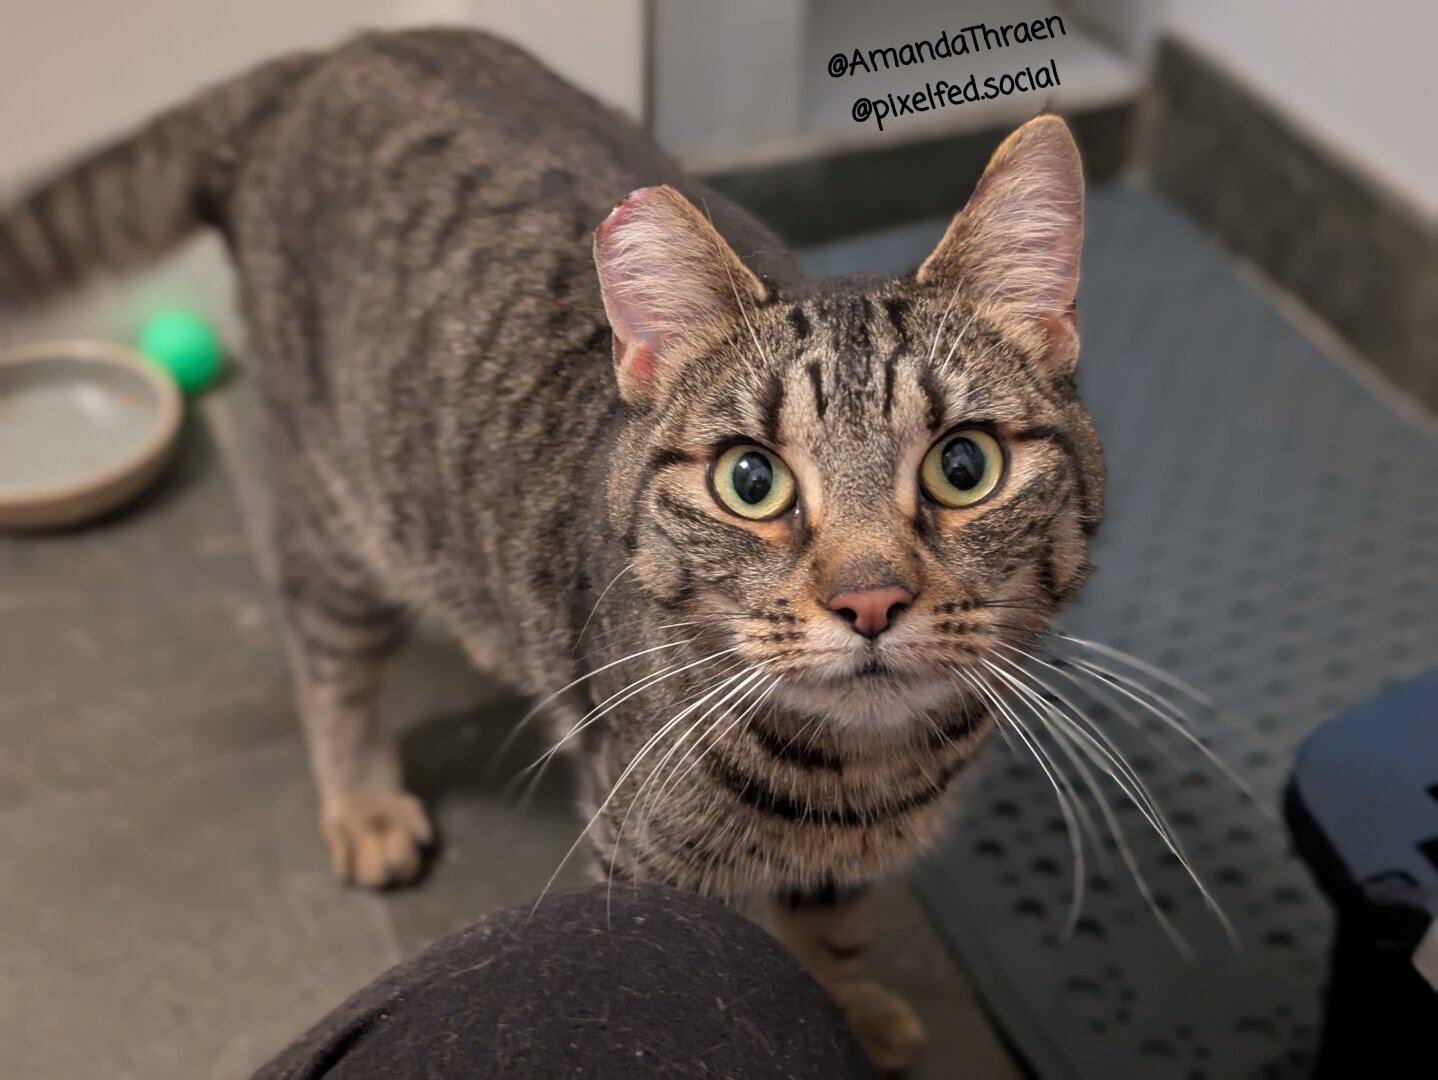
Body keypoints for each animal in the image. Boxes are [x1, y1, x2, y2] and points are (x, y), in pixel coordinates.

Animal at [0, 27, 1098, 1075]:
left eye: (964, 466)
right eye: (751, 480)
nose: (869, 601)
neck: (863, 777)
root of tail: (319, 59)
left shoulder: (843, 866)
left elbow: (830, 937)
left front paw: (852, 1007)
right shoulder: (648, 865)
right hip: (341, 520)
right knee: (325, 664)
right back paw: (363, 802)